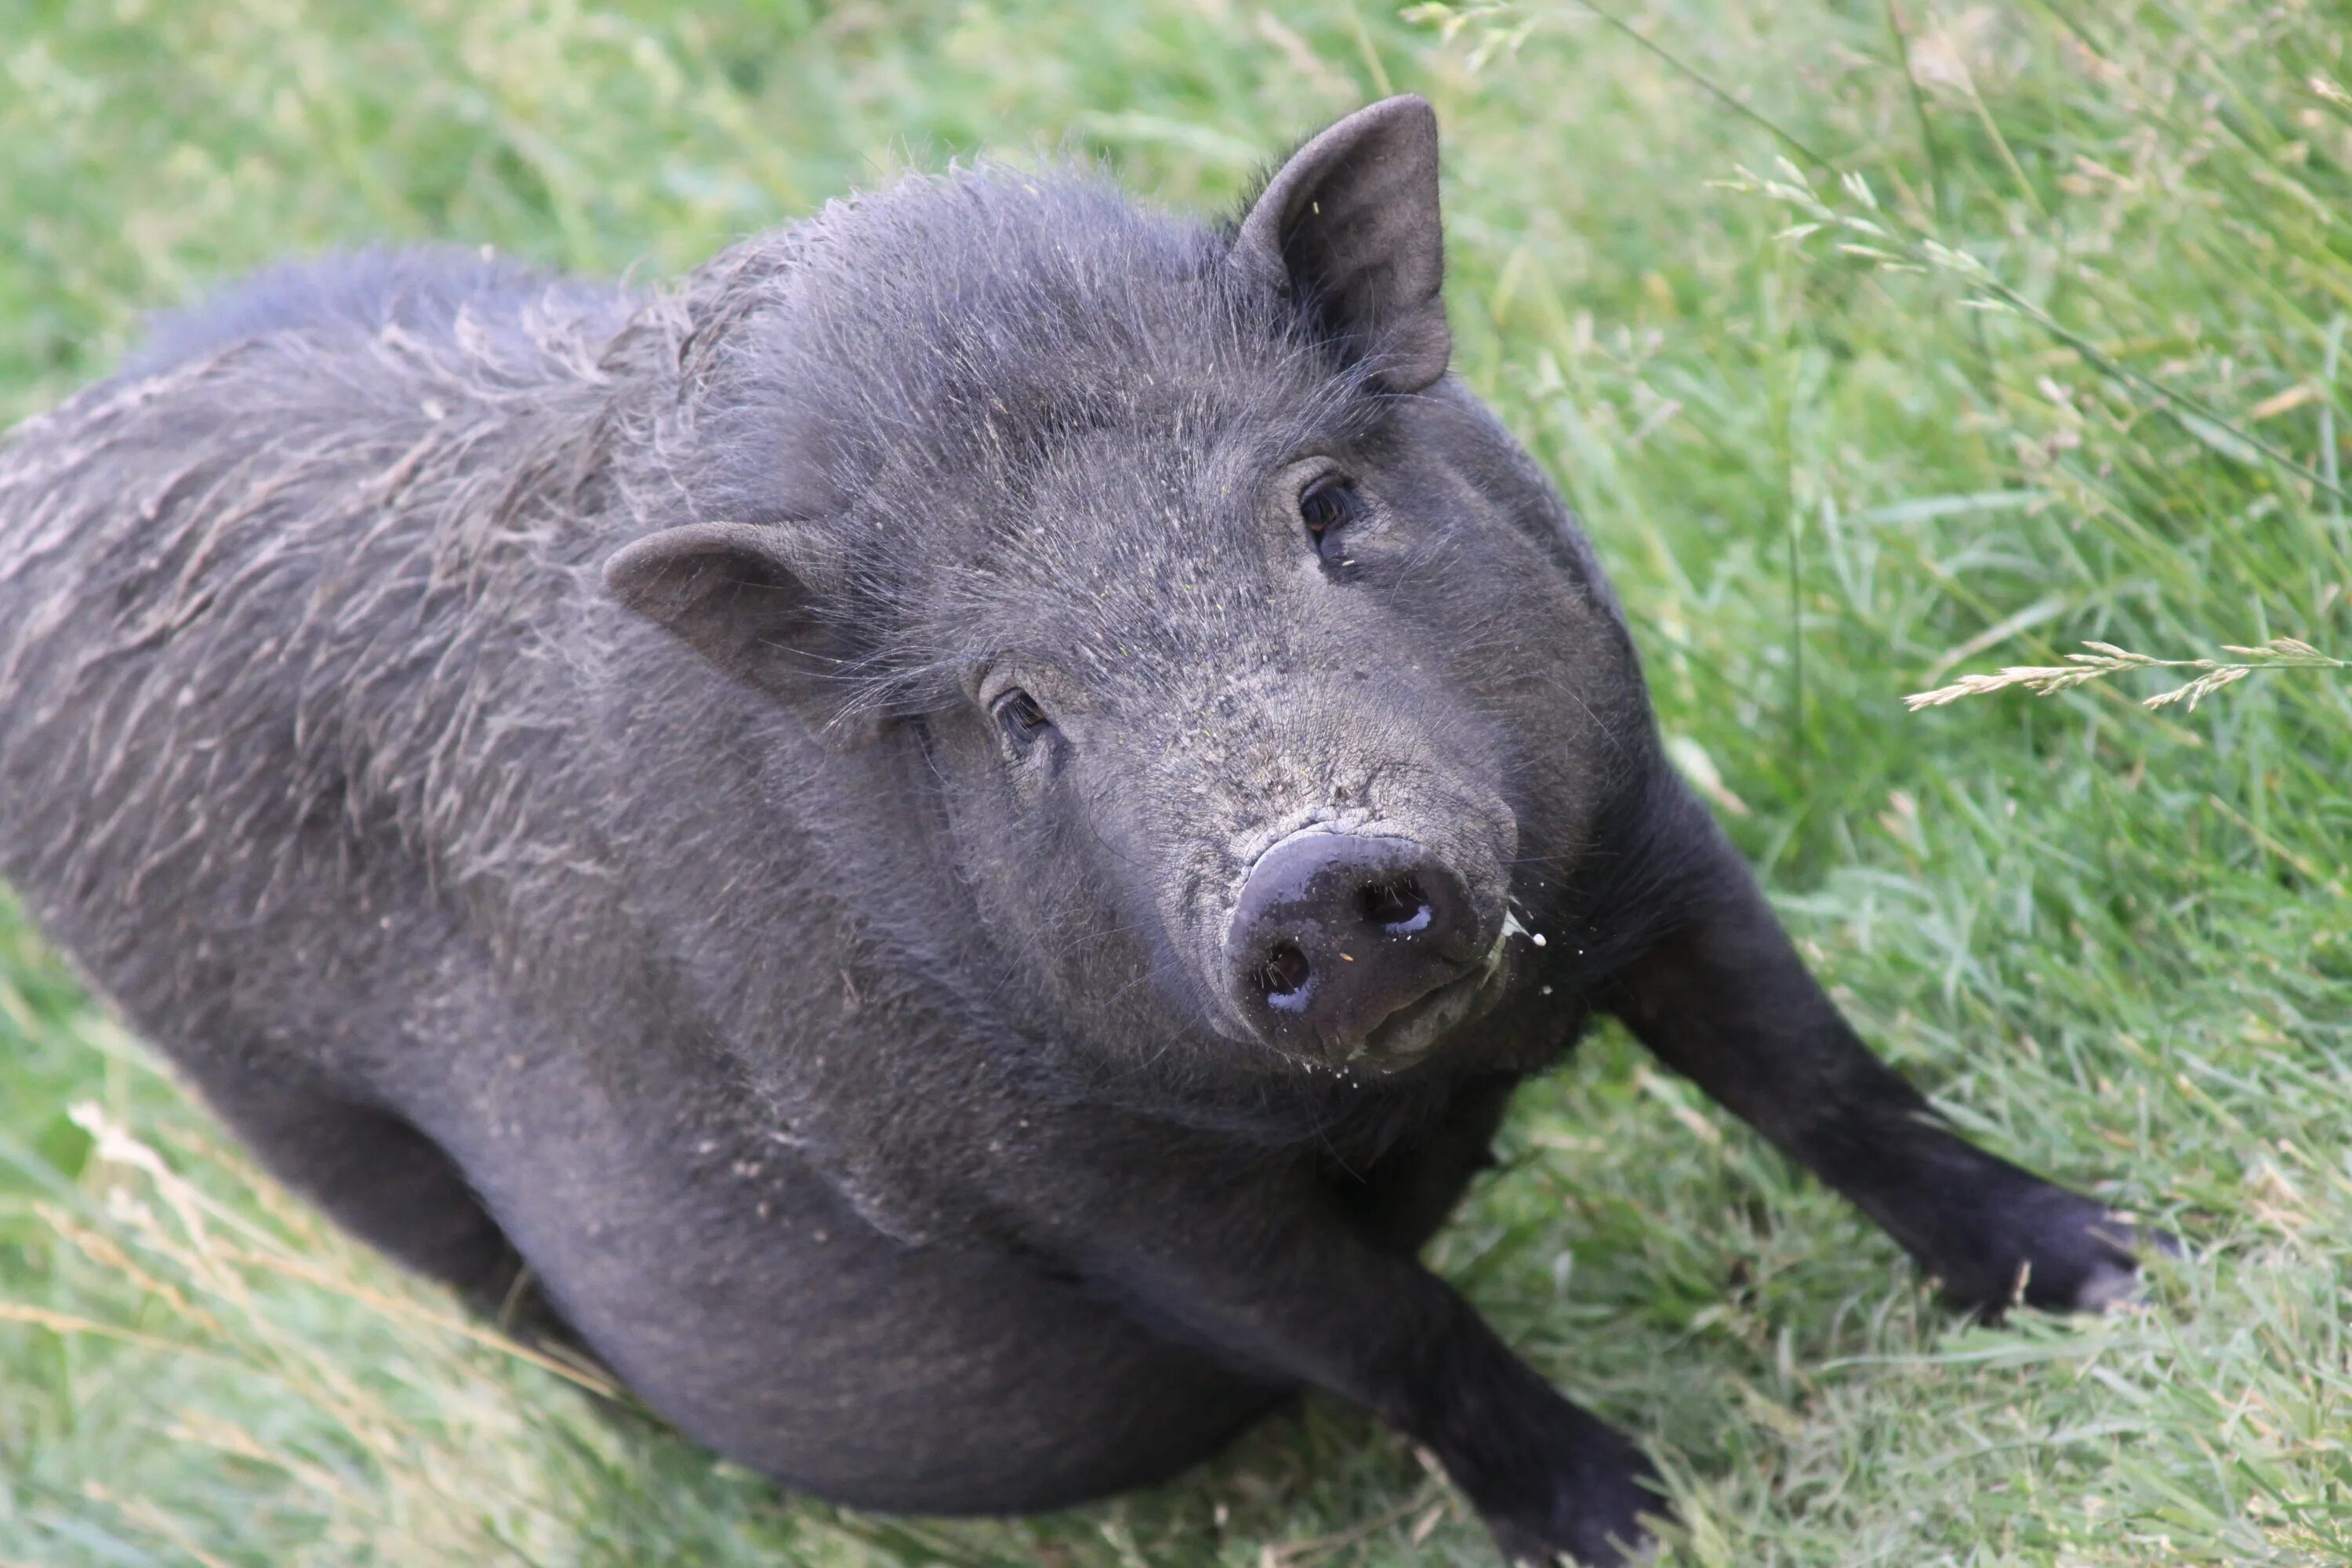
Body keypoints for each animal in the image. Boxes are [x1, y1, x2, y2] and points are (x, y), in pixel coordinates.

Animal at [4, 103, 2164, 1561]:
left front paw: (2107, 1266)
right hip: (319, 1137)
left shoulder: (1642, 836)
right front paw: (1627, 1524)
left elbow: (1818, 1077)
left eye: (1325, 504)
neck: (1429, 1075)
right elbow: (1398, 1329)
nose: (1311, 871)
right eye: (1015, 708)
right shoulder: (1089, 1186)